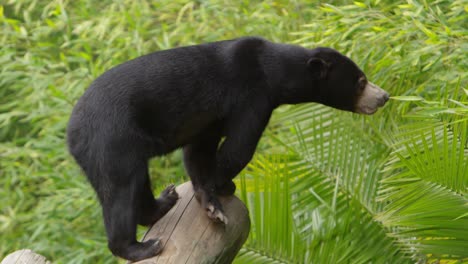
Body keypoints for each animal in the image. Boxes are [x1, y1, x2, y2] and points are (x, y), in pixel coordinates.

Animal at [66, 36, 388, 260]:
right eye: (361, 81)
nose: (384, 96)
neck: (276, 73)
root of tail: (71, 133)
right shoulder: (253, 97)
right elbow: (239, 148)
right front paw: (221, 191)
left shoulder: (211, 118)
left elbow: (199, 151)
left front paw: (208, 197)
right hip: (112, 140)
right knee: (121, 190)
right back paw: (142, 246)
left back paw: (165, 200)